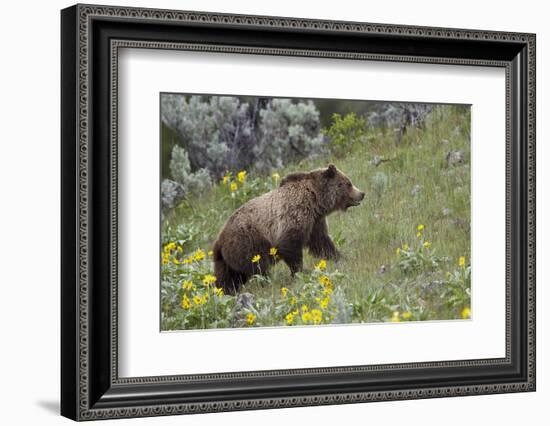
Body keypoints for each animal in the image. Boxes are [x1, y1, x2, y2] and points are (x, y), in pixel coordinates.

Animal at [213, 165, 364, 294]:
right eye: (348, 183)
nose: (362, 193)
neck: (315, 201)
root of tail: (219, 241)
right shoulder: (293, 216)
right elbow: (291, 246)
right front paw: (298, 272)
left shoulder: (315, 222)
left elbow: (321, 242)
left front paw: (340, 257)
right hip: (247, 243)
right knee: (258, 267)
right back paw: (265, 282)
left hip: (226, 260)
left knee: (228, 278)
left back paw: (226, 291)